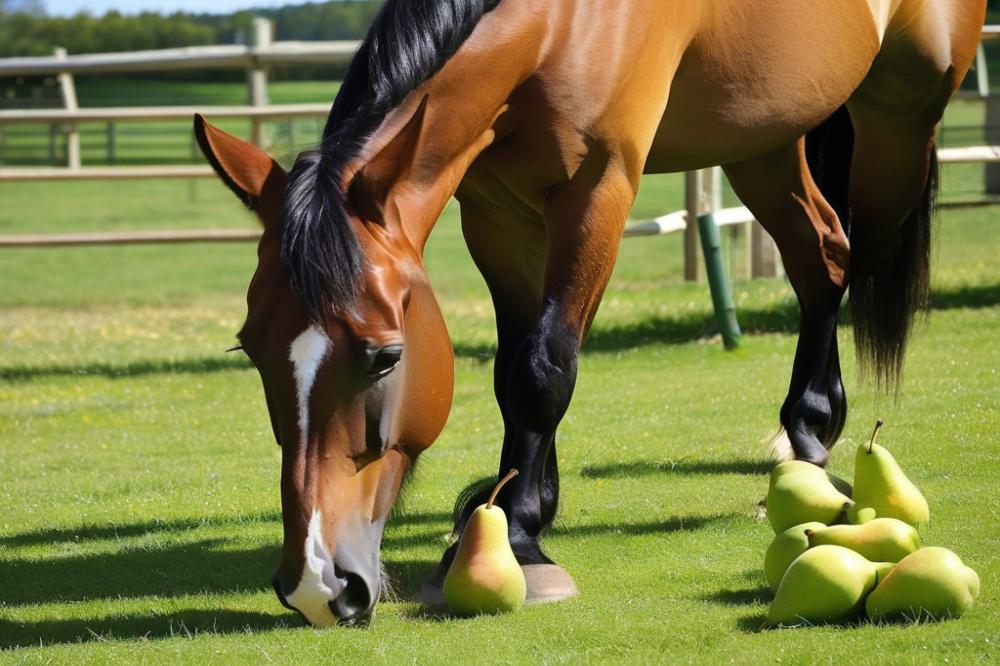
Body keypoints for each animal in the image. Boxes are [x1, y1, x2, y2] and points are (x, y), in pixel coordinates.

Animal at [193, 0, 984, 624]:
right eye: (251, 350)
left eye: (386, 356)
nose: (317, 584)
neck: (569, 21)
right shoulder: (495, 212)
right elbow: (513, 370)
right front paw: (519, 503)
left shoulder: (599, 191)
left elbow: (544, 369)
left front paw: (519, 536)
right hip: (763, 133)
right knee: (820, 256)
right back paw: (808, 432)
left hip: (900, 115)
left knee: (860, 251)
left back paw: (818, 429)